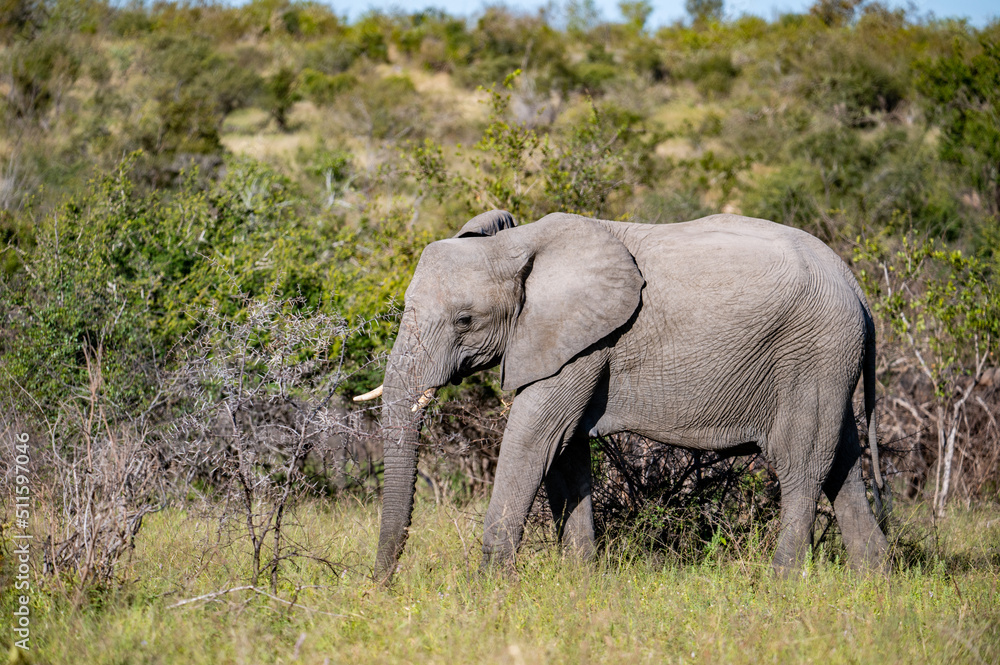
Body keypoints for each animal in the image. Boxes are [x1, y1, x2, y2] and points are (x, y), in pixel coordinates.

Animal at [360, 210, 892, 580]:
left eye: (464, 320)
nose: (380, 586)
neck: (520, 243)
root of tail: (856, 285)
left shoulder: (586, 341)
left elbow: (533, 441)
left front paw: (488, 590)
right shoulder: (573, 344)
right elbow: (564, 453)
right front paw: (579, 582)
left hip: (815, 349)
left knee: (801, 463)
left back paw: (778, 584)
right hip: (829, 361)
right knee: (841, 463)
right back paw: (875, 583)